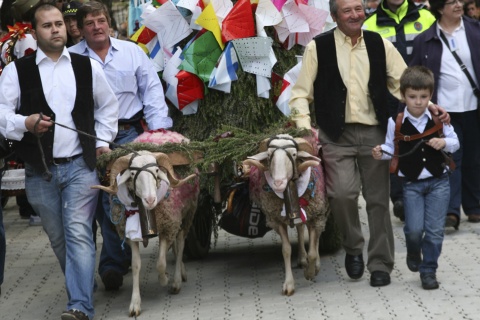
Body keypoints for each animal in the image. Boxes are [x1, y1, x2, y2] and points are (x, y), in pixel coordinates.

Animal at [92, 130, 199, 318]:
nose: (150, 200)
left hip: (186, 215)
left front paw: (164, 279)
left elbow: (161, 262)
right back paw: (182, 272)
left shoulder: (167, 228)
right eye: (133, 174)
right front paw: (135, 304)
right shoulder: (130, 237)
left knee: (180, 244)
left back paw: (176, 281)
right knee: (176, 247)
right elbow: (135, 266)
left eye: (156, 170)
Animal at [244, 133, 330, 296]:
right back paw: (302, 258)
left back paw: (315, 265)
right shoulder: (277, 221)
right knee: (301, 228)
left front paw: (310, 272)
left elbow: (313, 251)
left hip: (319, 213)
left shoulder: (316, 216)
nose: (278, 183)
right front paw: (289, 284)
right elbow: (286, 250)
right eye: (269, 155)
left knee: (315, 236)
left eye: (294, 154)